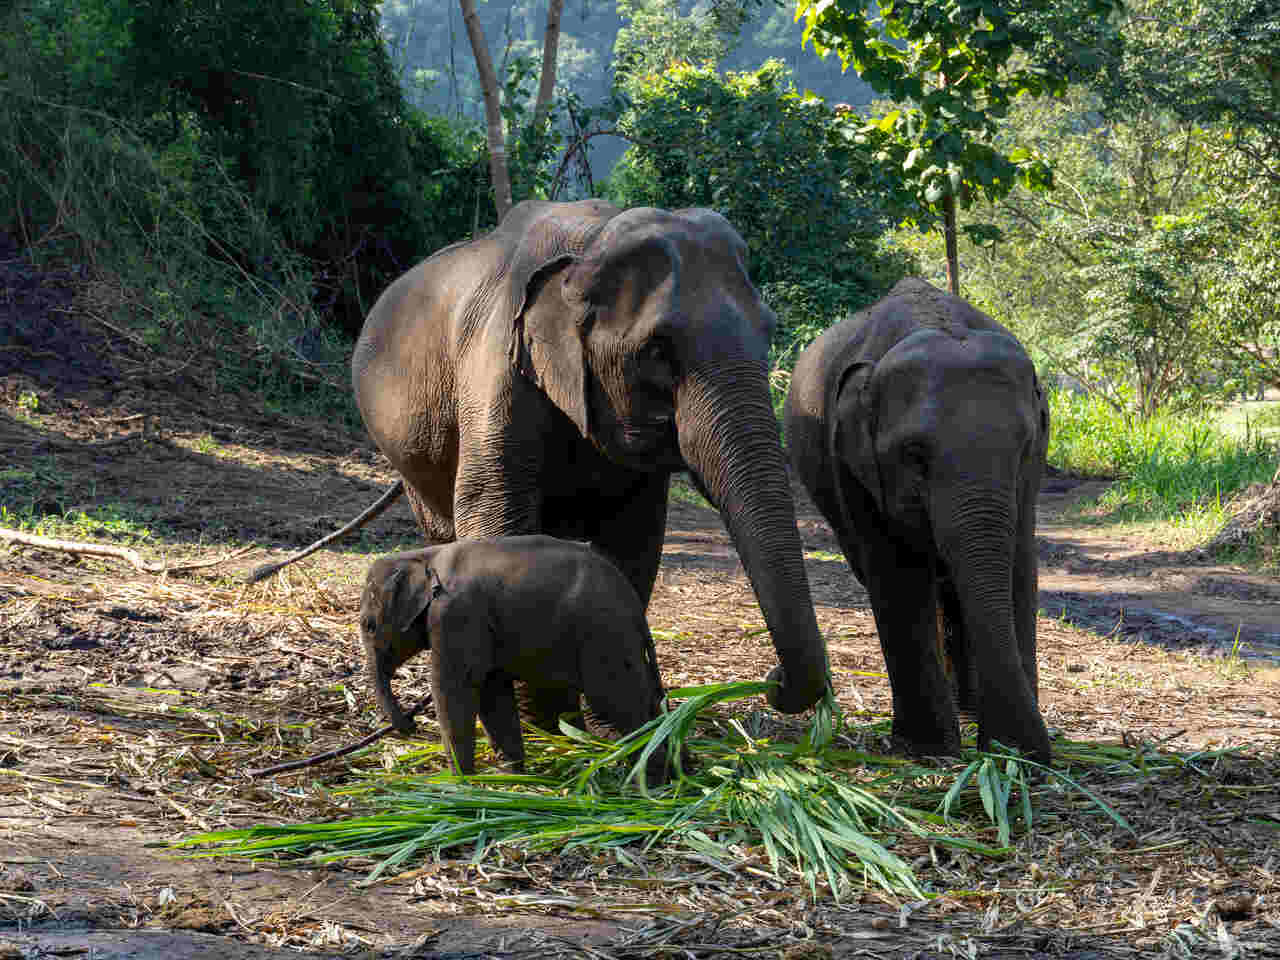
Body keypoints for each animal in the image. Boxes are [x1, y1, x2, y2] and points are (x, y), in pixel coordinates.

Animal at [253, 199, 829, 715]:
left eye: (769, 332)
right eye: (657, 351)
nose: (774, 682)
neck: (590, 241)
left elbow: (634, 538)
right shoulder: (496, 363)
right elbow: (493, 510)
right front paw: (545, 713)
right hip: (412, 456)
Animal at [360, 536, 668, 780]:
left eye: (369, 626)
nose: (409, 727)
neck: (424, 556)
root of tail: (633, 603)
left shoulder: (454, 615)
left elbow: (453, 687)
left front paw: (459, 781)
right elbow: (491, 690)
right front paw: (509, 775)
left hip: (604, 635)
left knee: (619, 702)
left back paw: (644, 783)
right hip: (622, 641)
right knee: (646, 699)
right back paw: (669, 776)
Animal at [784, 278, 1052, 762]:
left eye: (1024, 448)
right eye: (914, 456)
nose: (1025, 755)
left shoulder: (1030, 482)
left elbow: (1019, 568)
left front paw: (1011, 753)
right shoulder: (850, 464)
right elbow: (899, 573)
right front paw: (927, 750)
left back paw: (968, 706)